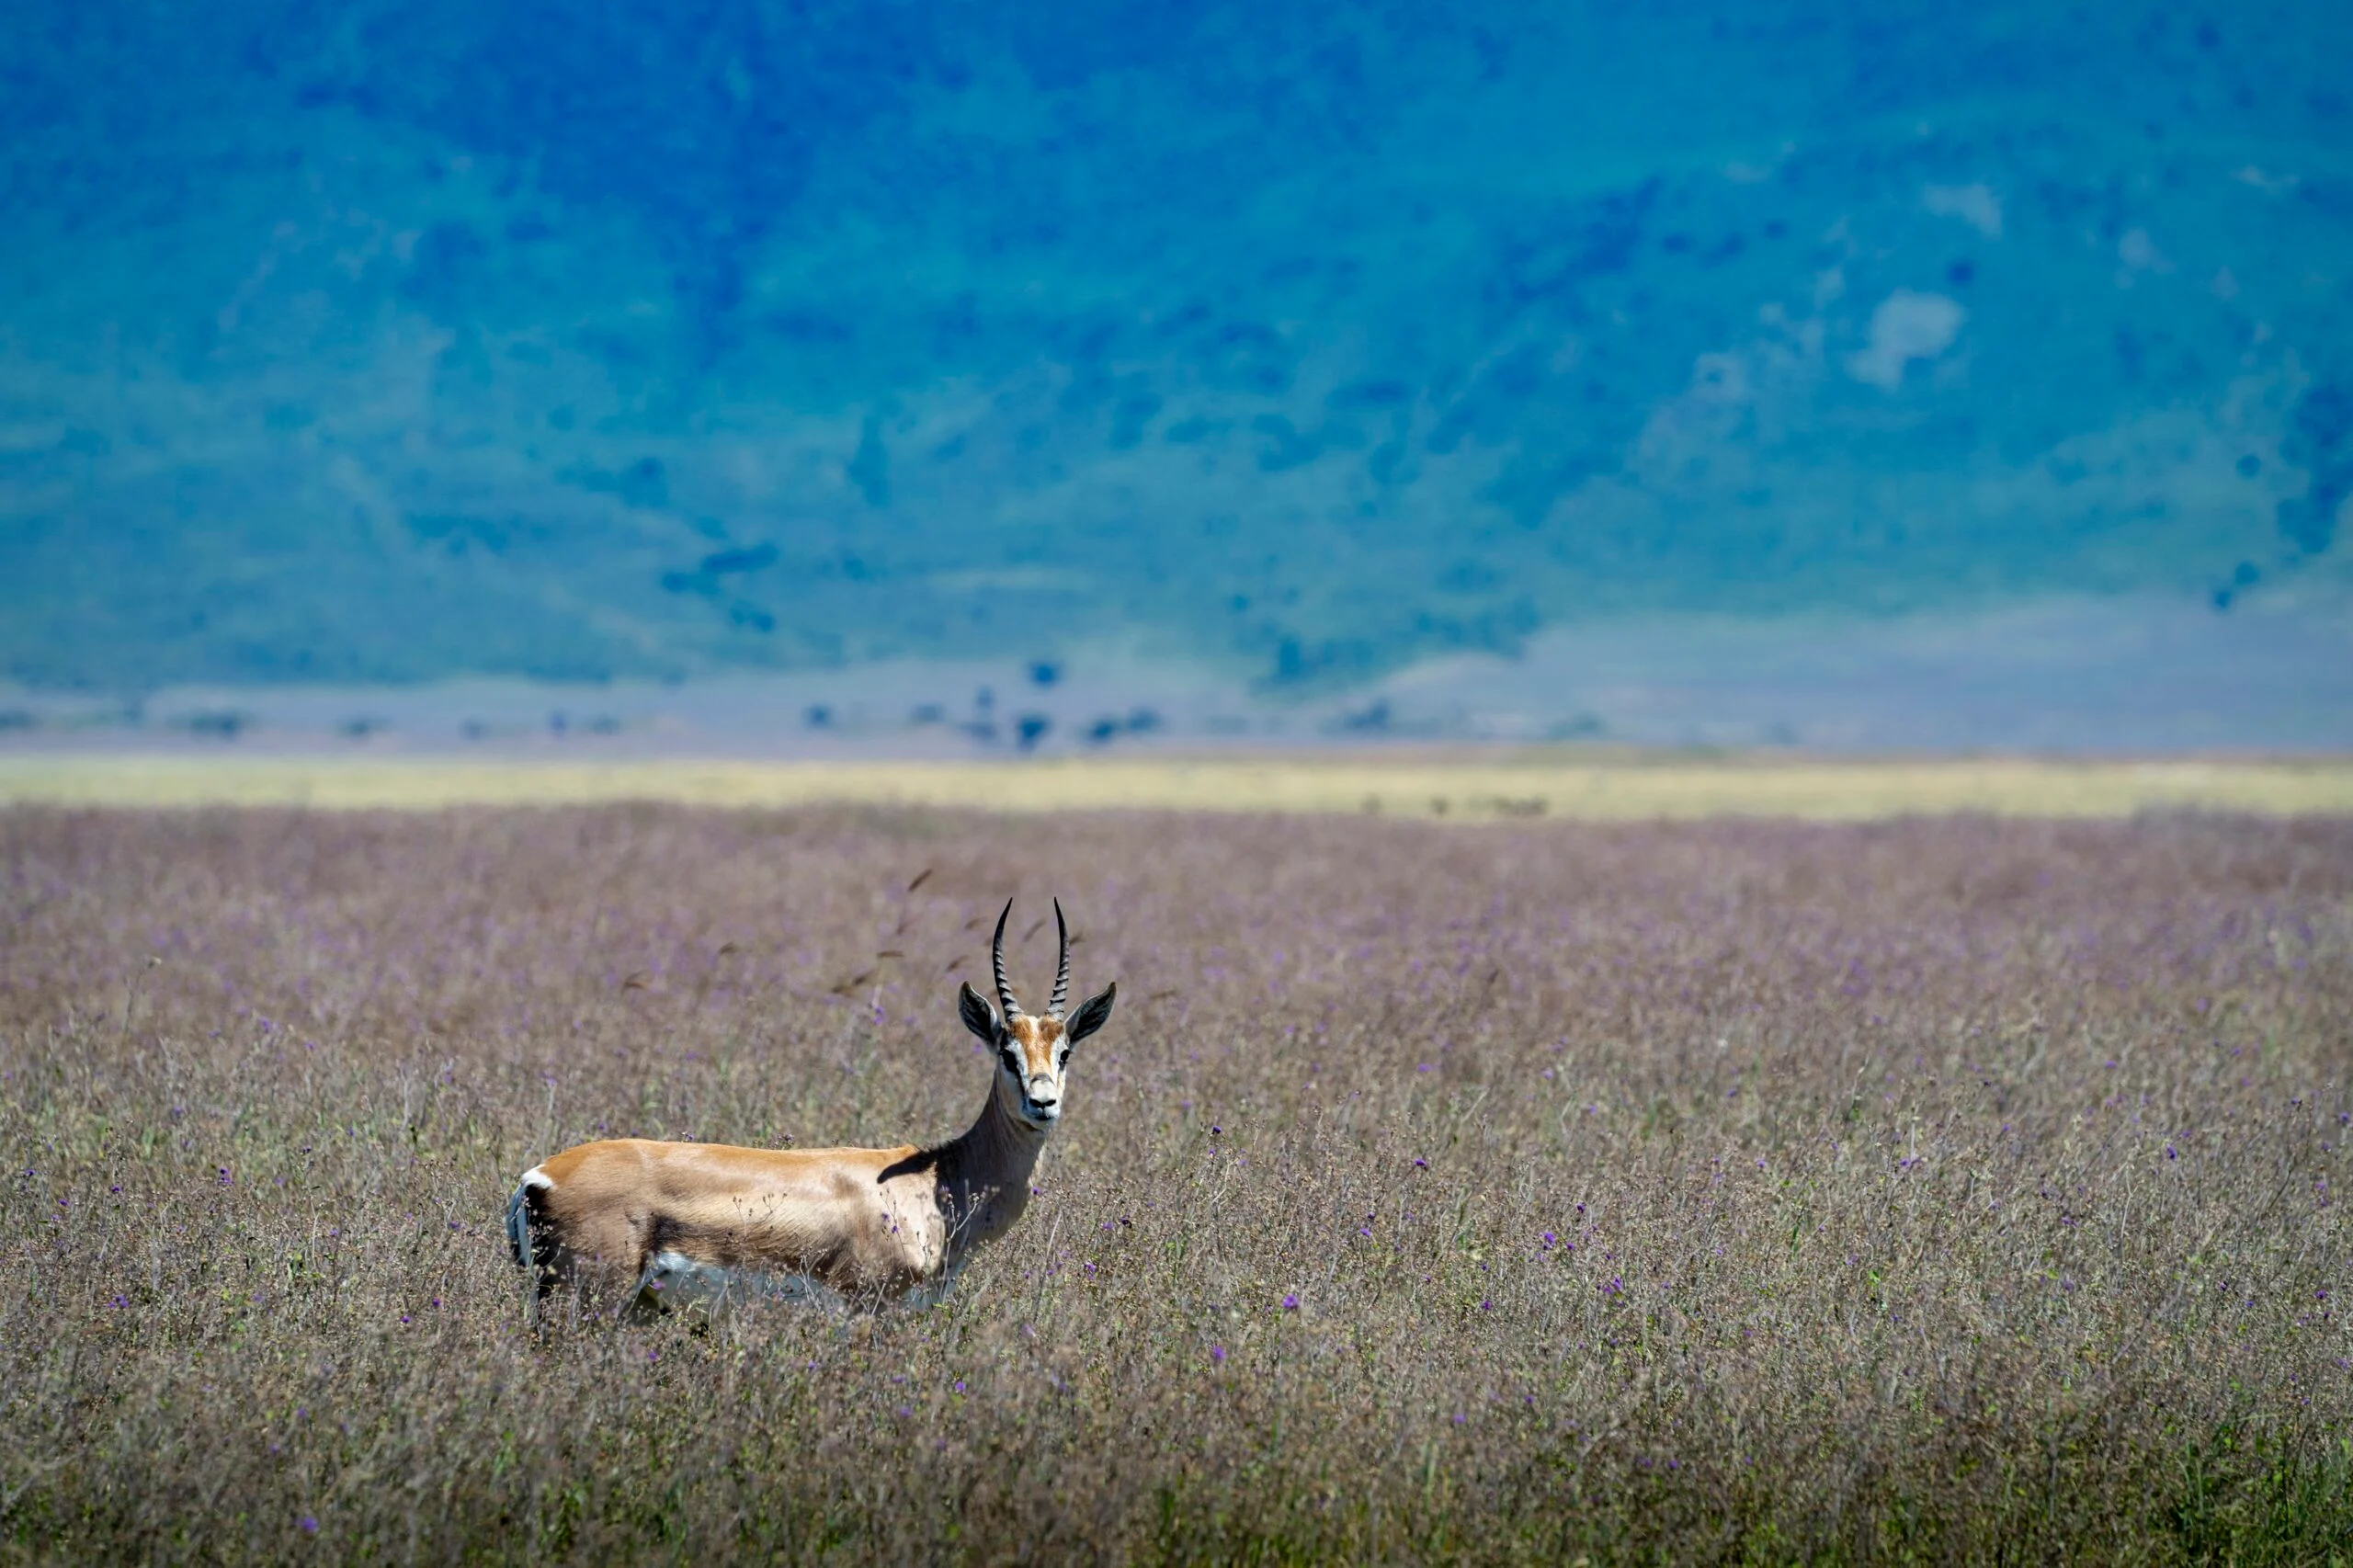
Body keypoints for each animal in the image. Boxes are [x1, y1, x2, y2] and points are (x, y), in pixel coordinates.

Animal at [505, 899, 1114, 1317]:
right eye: (1007, 1052)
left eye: (1063, 1051)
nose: (1042, 1102)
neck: (938, 1181)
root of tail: (537, 1177)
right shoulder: (867, 1311)